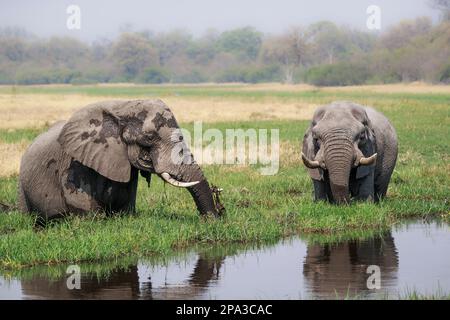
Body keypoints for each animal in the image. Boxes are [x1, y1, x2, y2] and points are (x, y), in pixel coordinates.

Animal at [18, 99, 223, 220]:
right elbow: (85, 209)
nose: (214, 218)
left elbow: (125, 206)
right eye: (149, 137)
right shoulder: (75, 164)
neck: (120, 108)